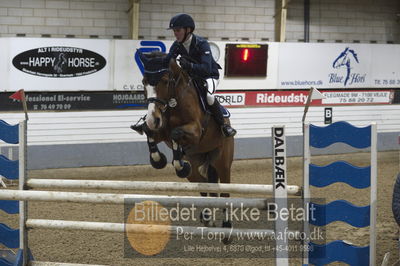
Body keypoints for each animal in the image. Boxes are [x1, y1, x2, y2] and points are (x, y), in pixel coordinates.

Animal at [138, 51, 234, 234]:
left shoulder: (195, 131)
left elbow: (176, 133)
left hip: (222, 161)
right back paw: (208, 218)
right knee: (205, 186)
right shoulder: (161, 132)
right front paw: (158, 160)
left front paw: (179, 164)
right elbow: (149, 132)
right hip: (196, 166)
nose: (153, 119)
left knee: (225, 191)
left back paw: (227, 228)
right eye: (144, 82)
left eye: (165, 81)